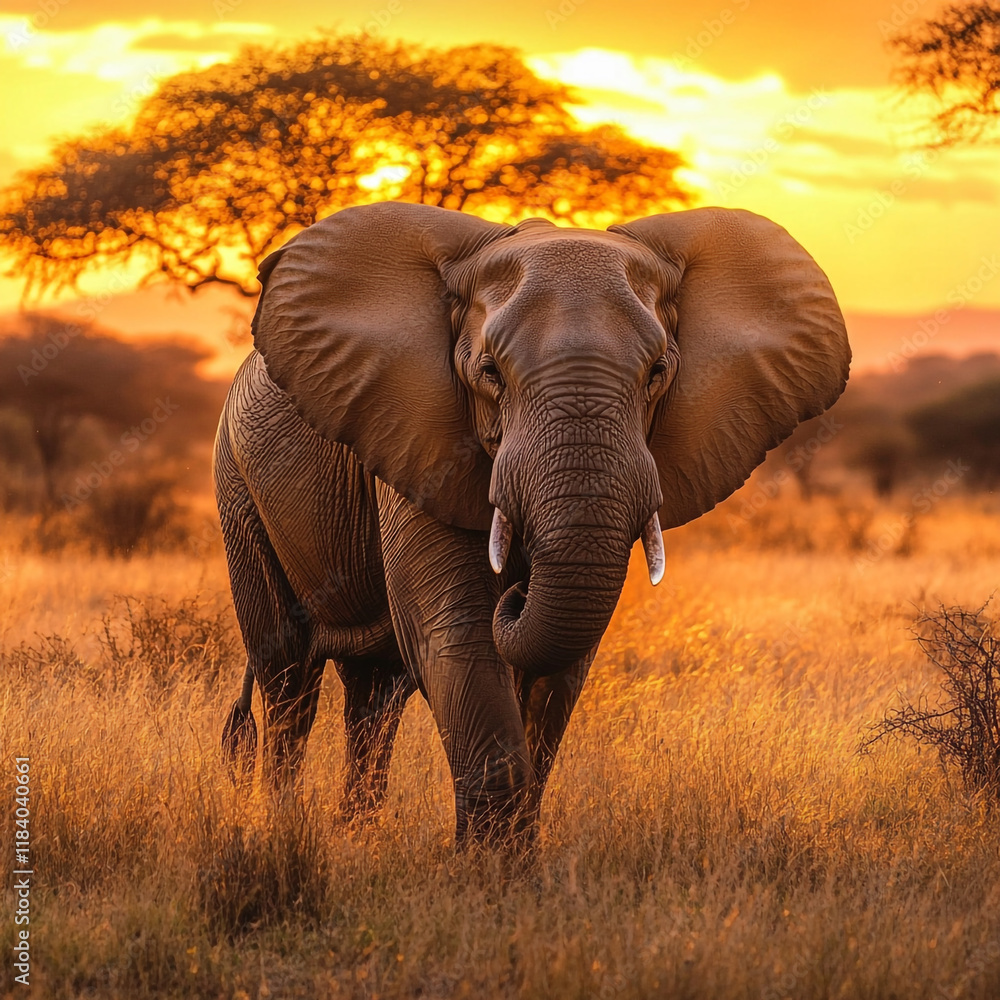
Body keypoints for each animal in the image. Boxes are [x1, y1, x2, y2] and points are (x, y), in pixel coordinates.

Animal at [216, 201, 849, 849]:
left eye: (657, 372)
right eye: (490, 372)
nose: (517, 590)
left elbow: (560, 665)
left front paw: (515, 859)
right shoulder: (416, 436)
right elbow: (459, 634)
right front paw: (488, 863)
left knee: (375, 693)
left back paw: (356, 835)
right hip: (236, 481)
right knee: (288, 675)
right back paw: (284, 831)